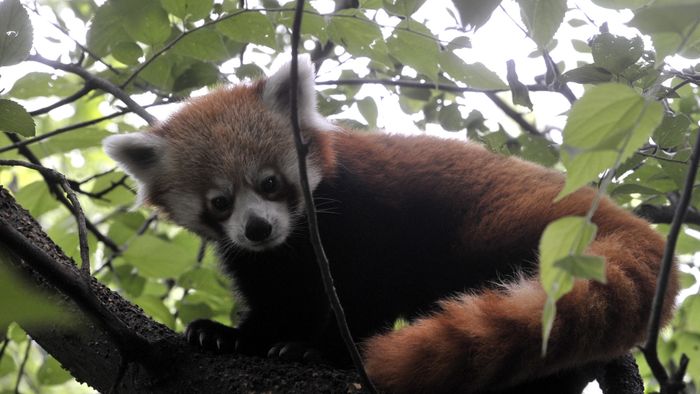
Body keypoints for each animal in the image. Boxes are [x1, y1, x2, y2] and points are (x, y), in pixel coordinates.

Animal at [102, 56, 680, 394]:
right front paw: (230, 335)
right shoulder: (264, 260)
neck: (297, 238)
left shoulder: (370, 215)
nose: (258, 228)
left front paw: (321, 352)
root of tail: (617, 214)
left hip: (506, 228)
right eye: (220, 203)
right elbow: (277, 298)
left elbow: (367, 291)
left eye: (269, 183)